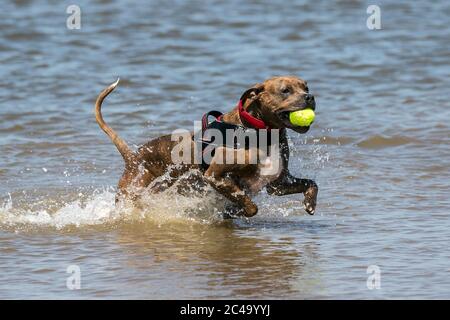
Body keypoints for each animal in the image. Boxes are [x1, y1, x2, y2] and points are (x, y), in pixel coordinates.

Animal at [94, 75, 318, 218]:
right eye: (285, 90)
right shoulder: (214, 176)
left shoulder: (277, 184)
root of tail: (133, 157)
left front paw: (310, 203)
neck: (258, 131)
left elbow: (311, 183)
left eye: (306, 87)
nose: (310, 96)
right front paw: (235, 210)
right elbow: (247, 203)